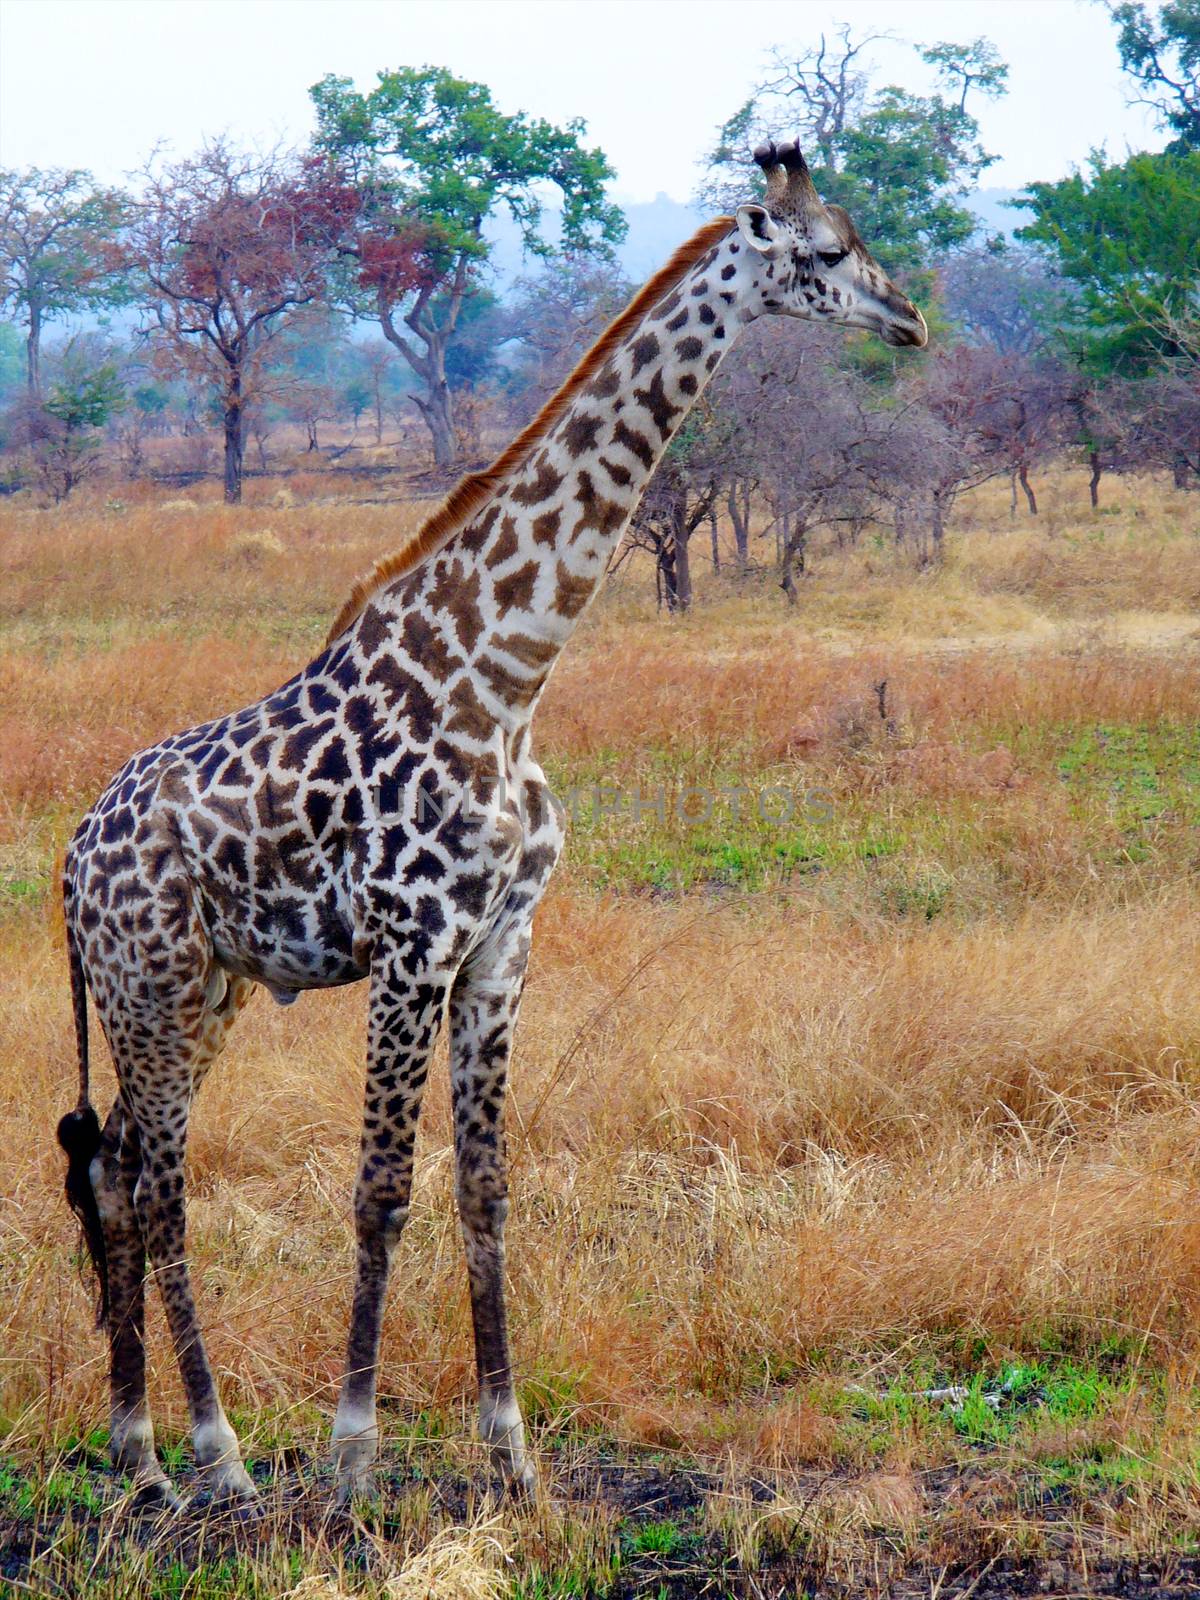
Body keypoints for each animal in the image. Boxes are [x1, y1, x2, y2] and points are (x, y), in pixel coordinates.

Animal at [58, 140, 928, 1510]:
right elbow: (379, 1191)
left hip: (204, 991)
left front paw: (512, 1452)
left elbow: (484, 1187)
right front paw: (354, 1457)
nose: (910, 318)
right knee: (157, 1186)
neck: (506, 675)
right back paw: (219, 1451)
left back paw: (137, 1444)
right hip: (148, 984)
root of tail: (66, 858)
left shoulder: (502, 946)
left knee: (113, 1172)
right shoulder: (413, 947)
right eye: (830, 250)